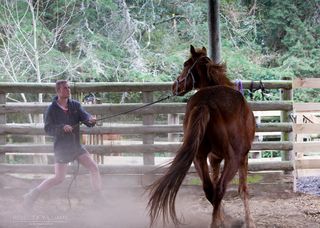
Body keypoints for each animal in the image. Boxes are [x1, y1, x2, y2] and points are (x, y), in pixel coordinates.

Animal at [147, 45, 255, 227]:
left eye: (185, 64)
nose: (175, 85)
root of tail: (206, 103)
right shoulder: (243, 157)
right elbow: (243, 189)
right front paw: (249, 222)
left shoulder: (214, 158)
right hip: (232, 158)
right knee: (219, 189)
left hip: (198, 157)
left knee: (209, 189)